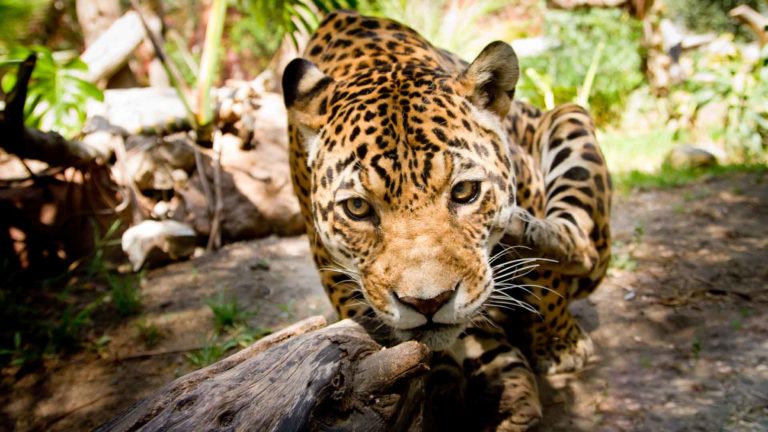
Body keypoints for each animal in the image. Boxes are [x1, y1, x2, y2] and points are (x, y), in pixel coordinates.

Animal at [283, 10, 611, 431]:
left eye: (465, 192)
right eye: (357, 208)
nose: (428, 303)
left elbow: (544, 275)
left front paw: (560, 344)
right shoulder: (333, 270)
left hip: (570, 122)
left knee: (578, 244)